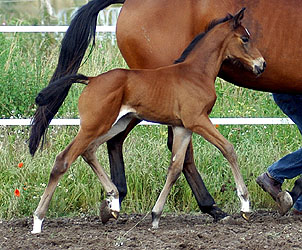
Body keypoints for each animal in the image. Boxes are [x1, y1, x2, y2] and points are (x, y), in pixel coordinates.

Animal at [29, 0, 302, 219]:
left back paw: (113, 201)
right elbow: (228, 149)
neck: (195, 72)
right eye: (245, 38)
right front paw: (247, 204)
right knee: (65, 159)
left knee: (94, 149)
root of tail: (91, 79)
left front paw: (156, 214)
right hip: (96, 124)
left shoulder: (184, 126)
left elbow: (175, 166)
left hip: (115, 122)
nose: (262, 64)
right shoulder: (197, 120)